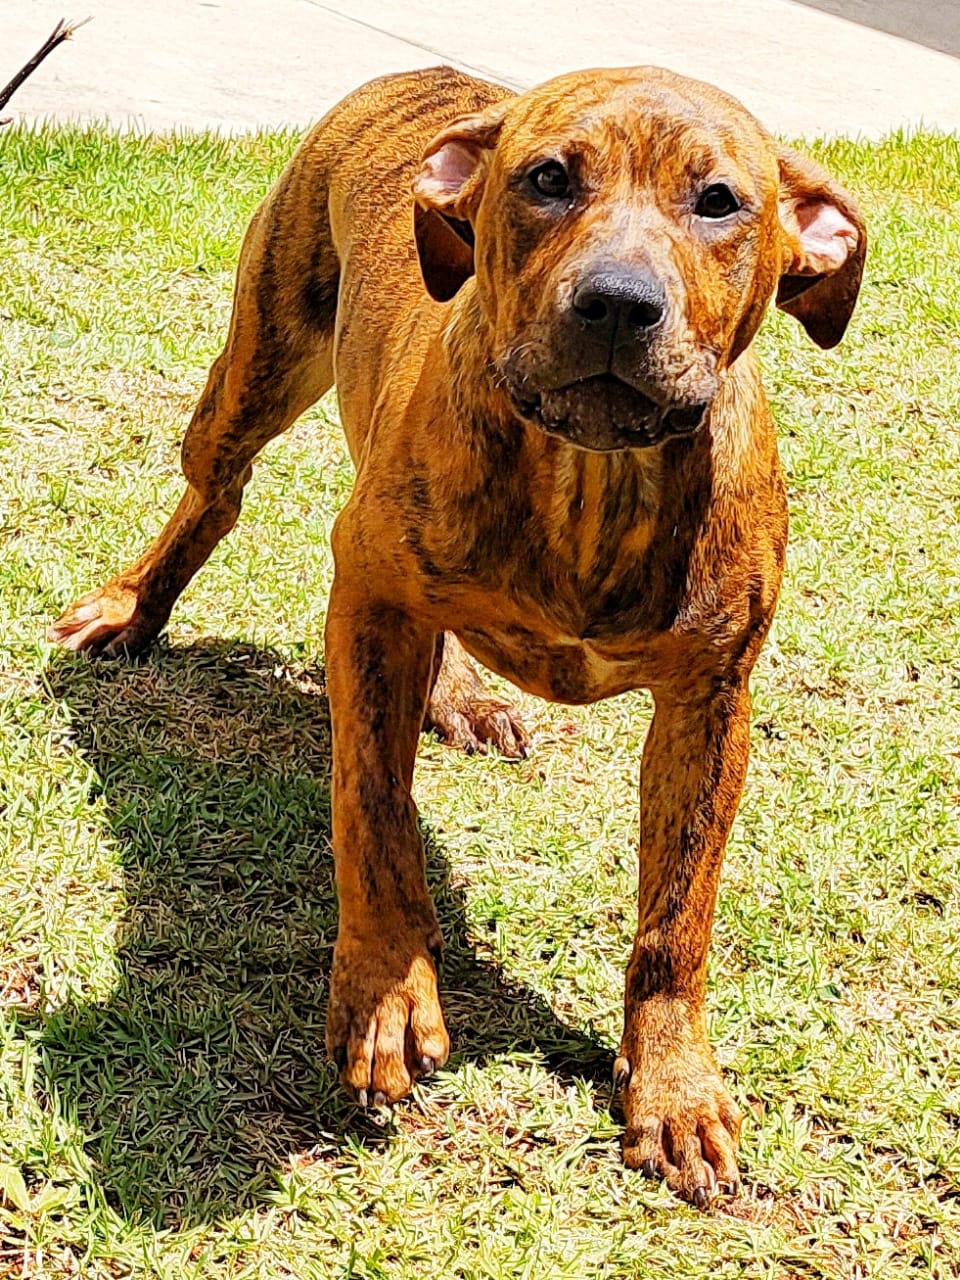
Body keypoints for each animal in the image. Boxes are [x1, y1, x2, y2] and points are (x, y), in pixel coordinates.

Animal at [48, 64, 870, 1203]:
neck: (593, 479)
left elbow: (678, 917)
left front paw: (673, 1086)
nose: (619, 302)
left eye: (720, 202)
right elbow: (375, 813)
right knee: (214, 498)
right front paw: (389, 991)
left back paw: (459, 700)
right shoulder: (370, 602)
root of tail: (426, 75)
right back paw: (134, 606)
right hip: (249, 379)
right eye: (548, 179)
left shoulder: (711, 703)